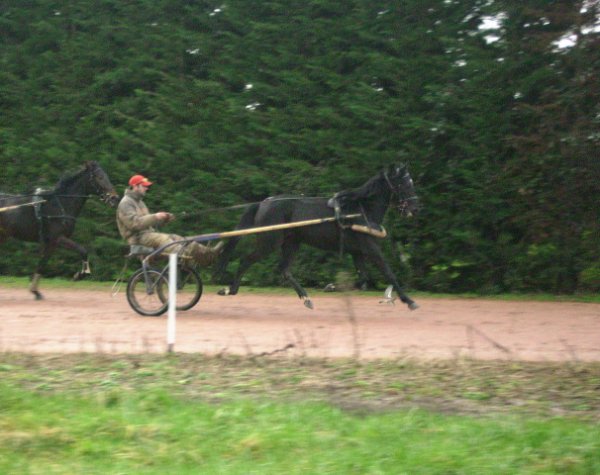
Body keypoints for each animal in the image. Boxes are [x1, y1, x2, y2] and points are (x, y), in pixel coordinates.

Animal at [0, 162, 119, 300]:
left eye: (106, 176)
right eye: (99, 177)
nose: (115, 198)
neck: (60, 205)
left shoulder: (52, 243)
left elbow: (42, 263)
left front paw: (35, 291)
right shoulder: (57, 239)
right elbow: (82, 250)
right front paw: (79, 275)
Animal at [216, 165, 422, 312]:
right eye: (404, 184)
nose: (414, 209)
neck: (360, 210)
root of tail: (263, 203)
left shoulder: (357, 252)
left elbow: (363, 278)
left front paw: (331, 286)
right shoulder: (371, 249)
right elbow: (389, 273)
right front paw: (409, 300)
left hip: (292, 243)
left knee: (284, 269)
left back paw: (306, 298)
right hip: (269, 242)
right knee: (247, 260)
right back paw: (230, 290)